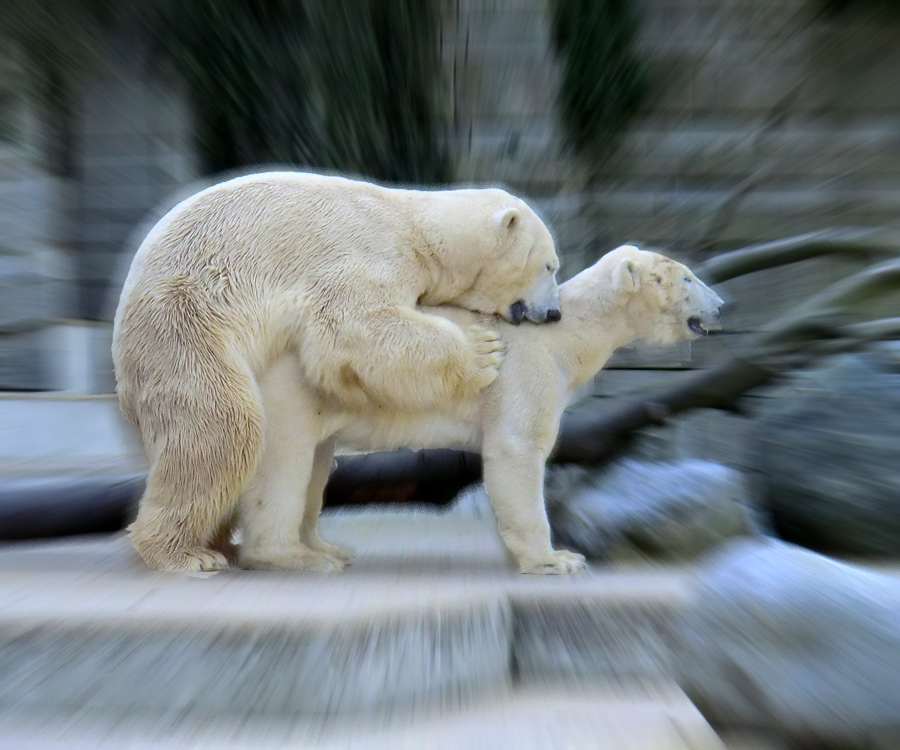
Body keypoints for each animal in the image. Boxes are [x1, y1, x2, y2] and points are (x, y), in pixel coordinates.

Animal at [112, 172, 564, 576]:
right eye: (549, 265)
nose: (554, 312)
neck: (418, 228)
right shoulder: (367, 257)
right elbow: (356, 325)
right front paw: (482, 350)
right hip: (183, 323)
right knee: (222, 428)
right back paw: (186, 554)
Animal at [234, 247, 724, 576]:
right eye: (687, 278)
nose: (721, 306)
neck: (566, 336)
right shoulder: (525, 372)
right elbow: (517, 449)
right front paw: (557, 559)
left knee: (316, 463)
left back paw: (327, 549)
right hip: (292, 384)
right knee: (286, 459)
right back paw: (289, 557)